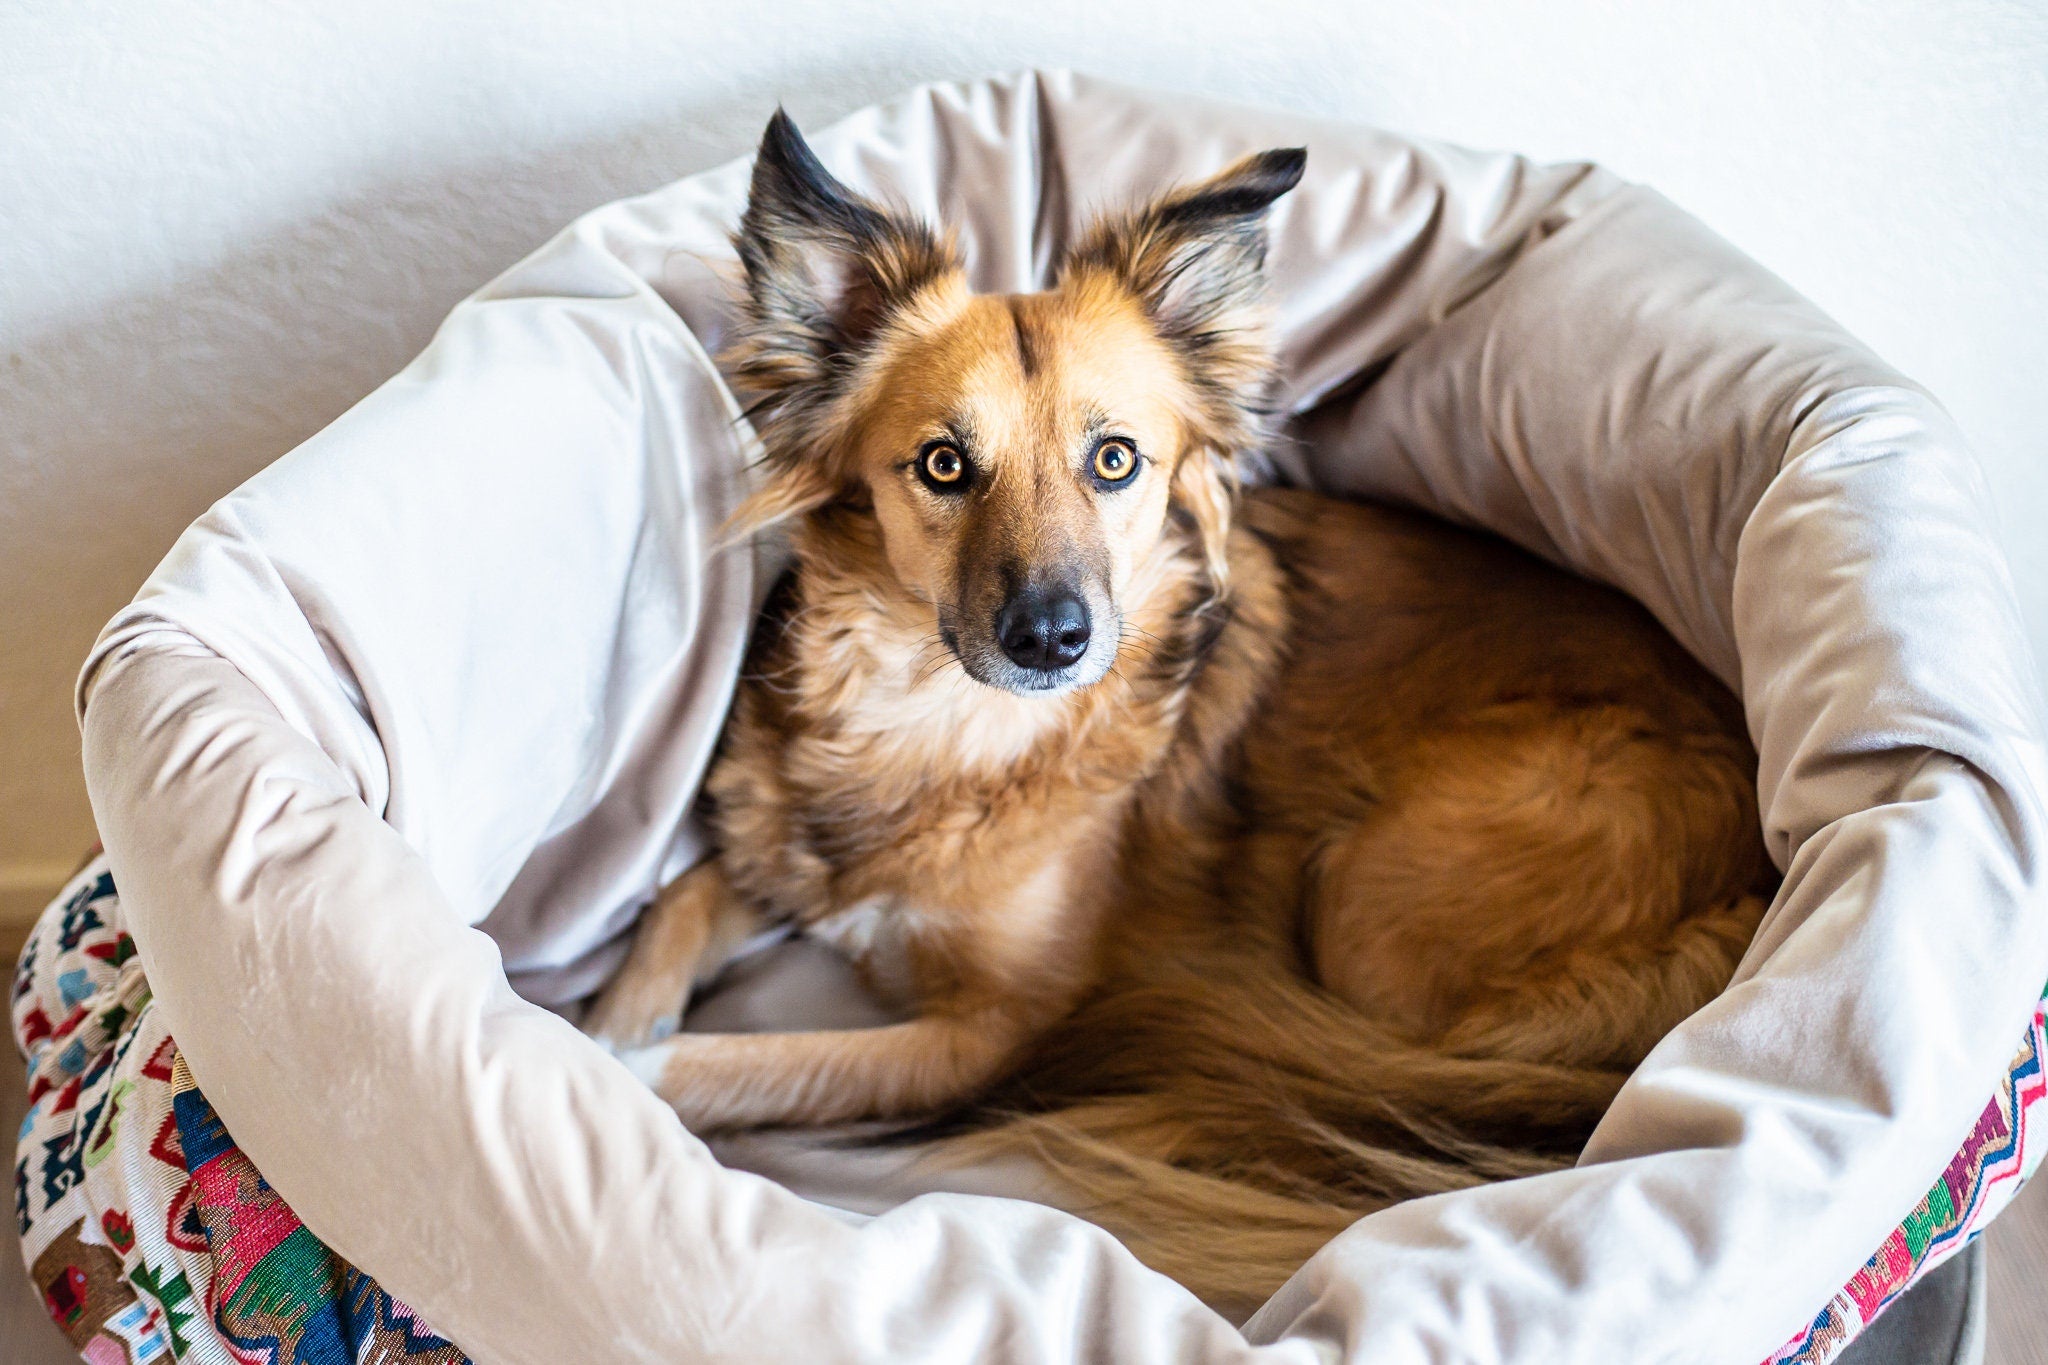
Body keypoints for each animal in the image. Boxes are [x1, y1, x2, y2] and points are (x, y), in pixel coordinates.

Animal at [581, 114, 1777, 1309]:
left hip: (1369, 902)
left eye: (1115, 460)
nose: (1050, 638)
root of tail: (1752, 876)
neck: (940, 722)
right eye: (943, 465)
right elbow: (681, 897)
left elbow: (760, 1062)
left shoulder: (988, 1032)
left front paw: (618, 1066)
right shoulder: (790, 852)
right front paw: (610, 1018)